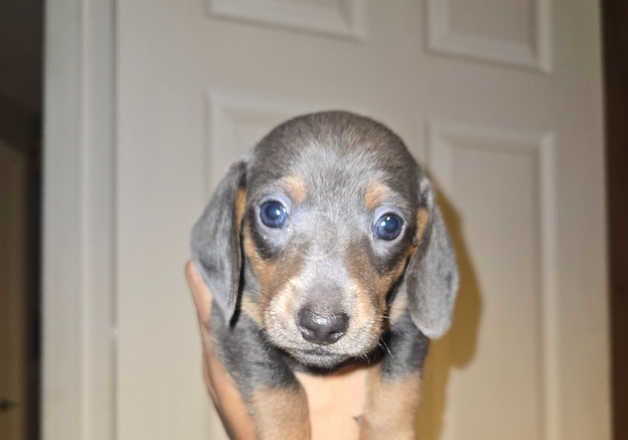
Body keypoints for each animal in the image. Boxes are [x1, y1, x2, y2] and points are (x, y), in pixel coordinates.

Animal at [189, 111, 458, 440]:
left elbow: (397, 386)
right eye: (272, 212)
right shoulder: (234, 322)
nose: (322, 325)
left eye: (390, 224)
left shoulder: (409, 323)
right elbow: (278, 387)